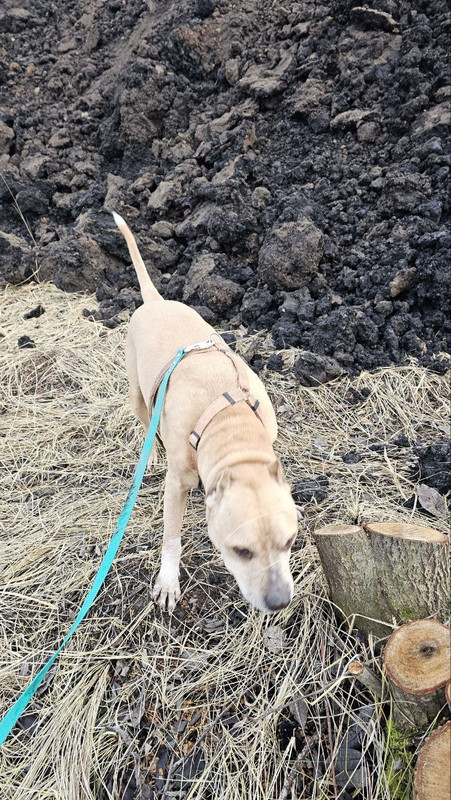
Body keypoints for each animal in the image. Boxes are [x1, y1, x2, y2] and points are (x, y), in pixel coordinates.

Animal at [113, 213, 298, 613]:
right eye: (241, 551)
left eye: (290, 541)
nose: (279, 601)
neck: (228, 421)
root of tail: (154, 302)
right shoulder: (177, 483)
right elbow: (171, 537)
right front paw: (168, 581)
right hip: (137, 393)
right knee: (145, 419)